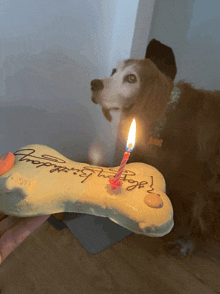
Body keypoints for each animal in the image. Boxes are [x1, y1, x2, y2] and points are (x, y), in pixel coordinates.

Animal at [90, 38, 220, 255]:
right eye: (114, 71)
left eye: (132, 78)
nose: (93, 83)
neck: (165, 114)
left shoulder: (201, 184)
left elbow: (199, 214)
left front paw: (189, 241)